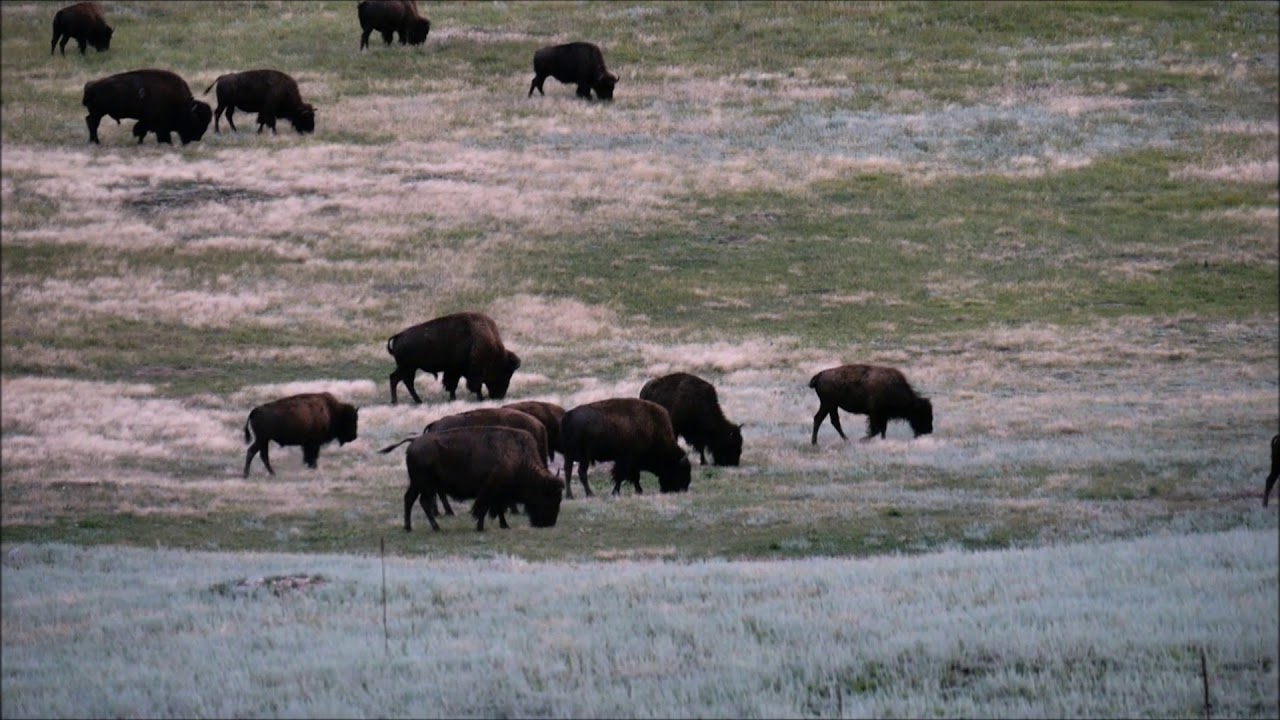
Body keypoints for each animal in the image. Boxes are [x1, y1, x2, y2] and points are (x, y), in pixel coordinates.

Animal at [82, 69, 212, 146]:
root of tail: (91, 85)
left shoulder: (146, 121)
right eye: (196, 120)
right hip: (98, 113)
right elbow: (152, 133)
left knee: (90, 121)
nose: (197, 138)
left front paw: (140, 142)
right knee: (93, 123)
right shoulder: (159, 125)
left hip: (97, 113)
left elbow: (141, 131)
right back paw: (96, 142)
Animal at [381, 426, 564, 532]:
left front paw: (504, 525)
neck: (518, 455)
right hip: (426, 485)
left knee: (409, 499)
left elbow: (496, 509)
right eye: (549, 496)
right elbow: (483, 509)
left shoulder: (498, 494)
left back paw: (409, 527)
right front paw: (481, 527)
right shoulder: (490, 491)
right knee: (423, 502)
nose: (549, 523)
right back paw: (436, 528)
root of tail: (414, 442)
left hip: (417, 484)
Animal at [386, 312, 521, 404]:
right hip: (408, 368)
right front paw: (478, 398)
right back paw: (409, 401)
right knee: (402, 381)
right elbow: (462, 384)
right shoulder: (460, 371)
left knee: (398, 379)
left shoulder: (457, 371)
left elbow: (453, 385)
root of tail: (398, 336)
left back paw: (408, 401)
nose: (500, 395)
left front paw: (453, 398)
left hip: (407, 368)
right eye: (506, 373)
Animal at [560, 398, 691, 498]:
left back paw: (570, 495)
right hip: (584, 457)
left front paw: (638, 491)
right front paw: (616, 493)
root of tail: (568, 416)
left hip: (569, 455)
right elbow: (621, 476)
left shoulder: (632, 463)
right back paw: (590, 494)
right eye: (680, 470)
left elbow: (634, 477)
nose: (683, 488)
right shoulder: (626, 460)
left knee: (568, 472)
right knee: (581, 473)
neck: (653, 430)